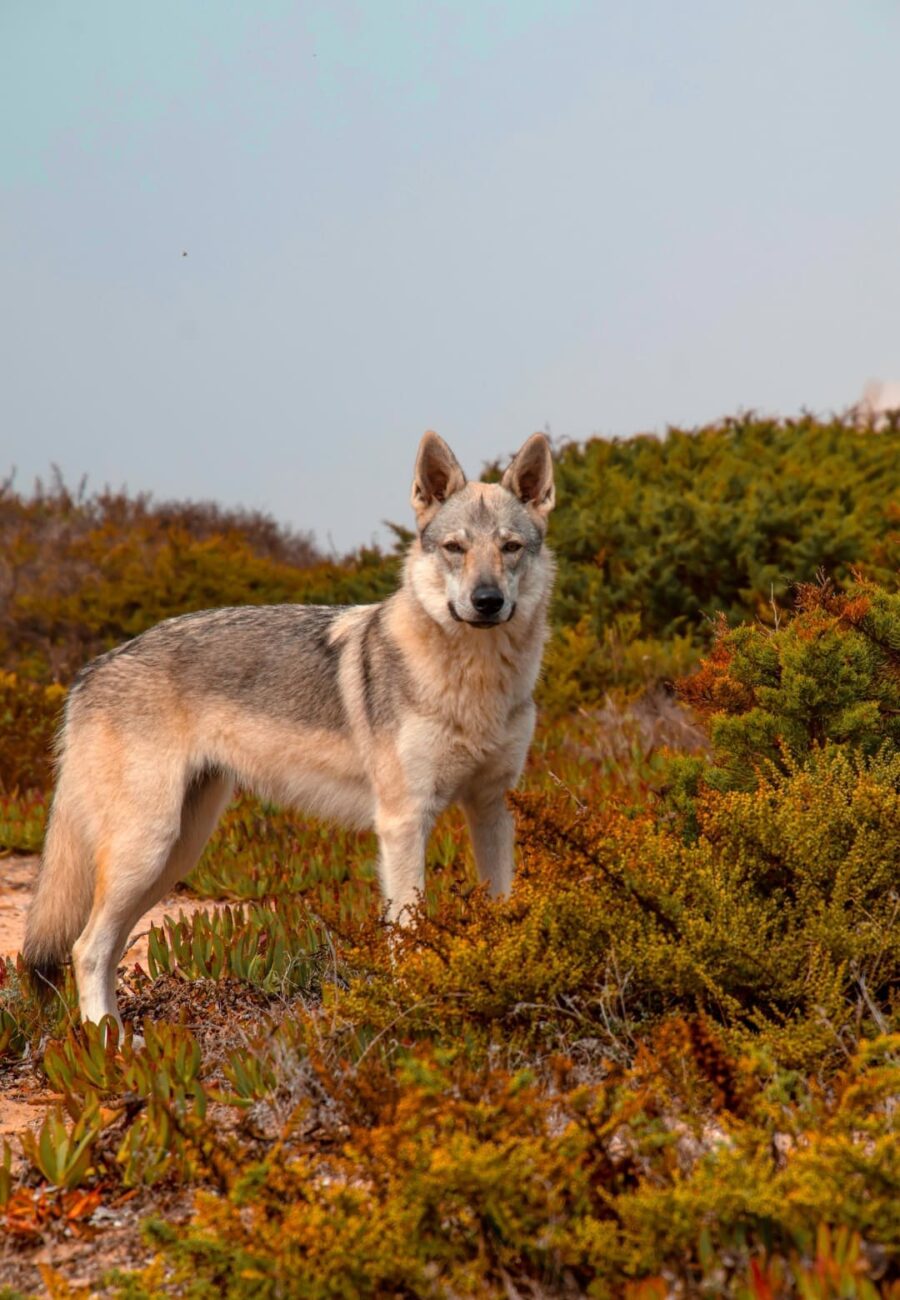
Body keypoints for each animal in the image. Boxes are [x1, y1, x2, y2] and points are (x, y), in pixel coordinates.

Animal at [23, 431, 556, 1031]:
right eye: (455, 548)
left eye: (510, 547)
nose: (487, 602)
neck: (474, 681)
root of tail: (89, 670)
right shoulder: (404, 822)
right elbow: (407, 934)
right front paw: (410, 1011)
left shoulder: (491, 808)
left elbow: (502, 912)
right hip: (149, 849)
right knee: (85, 947)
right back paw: (109, 1041)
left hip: (175, 854)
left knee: (105, 947)